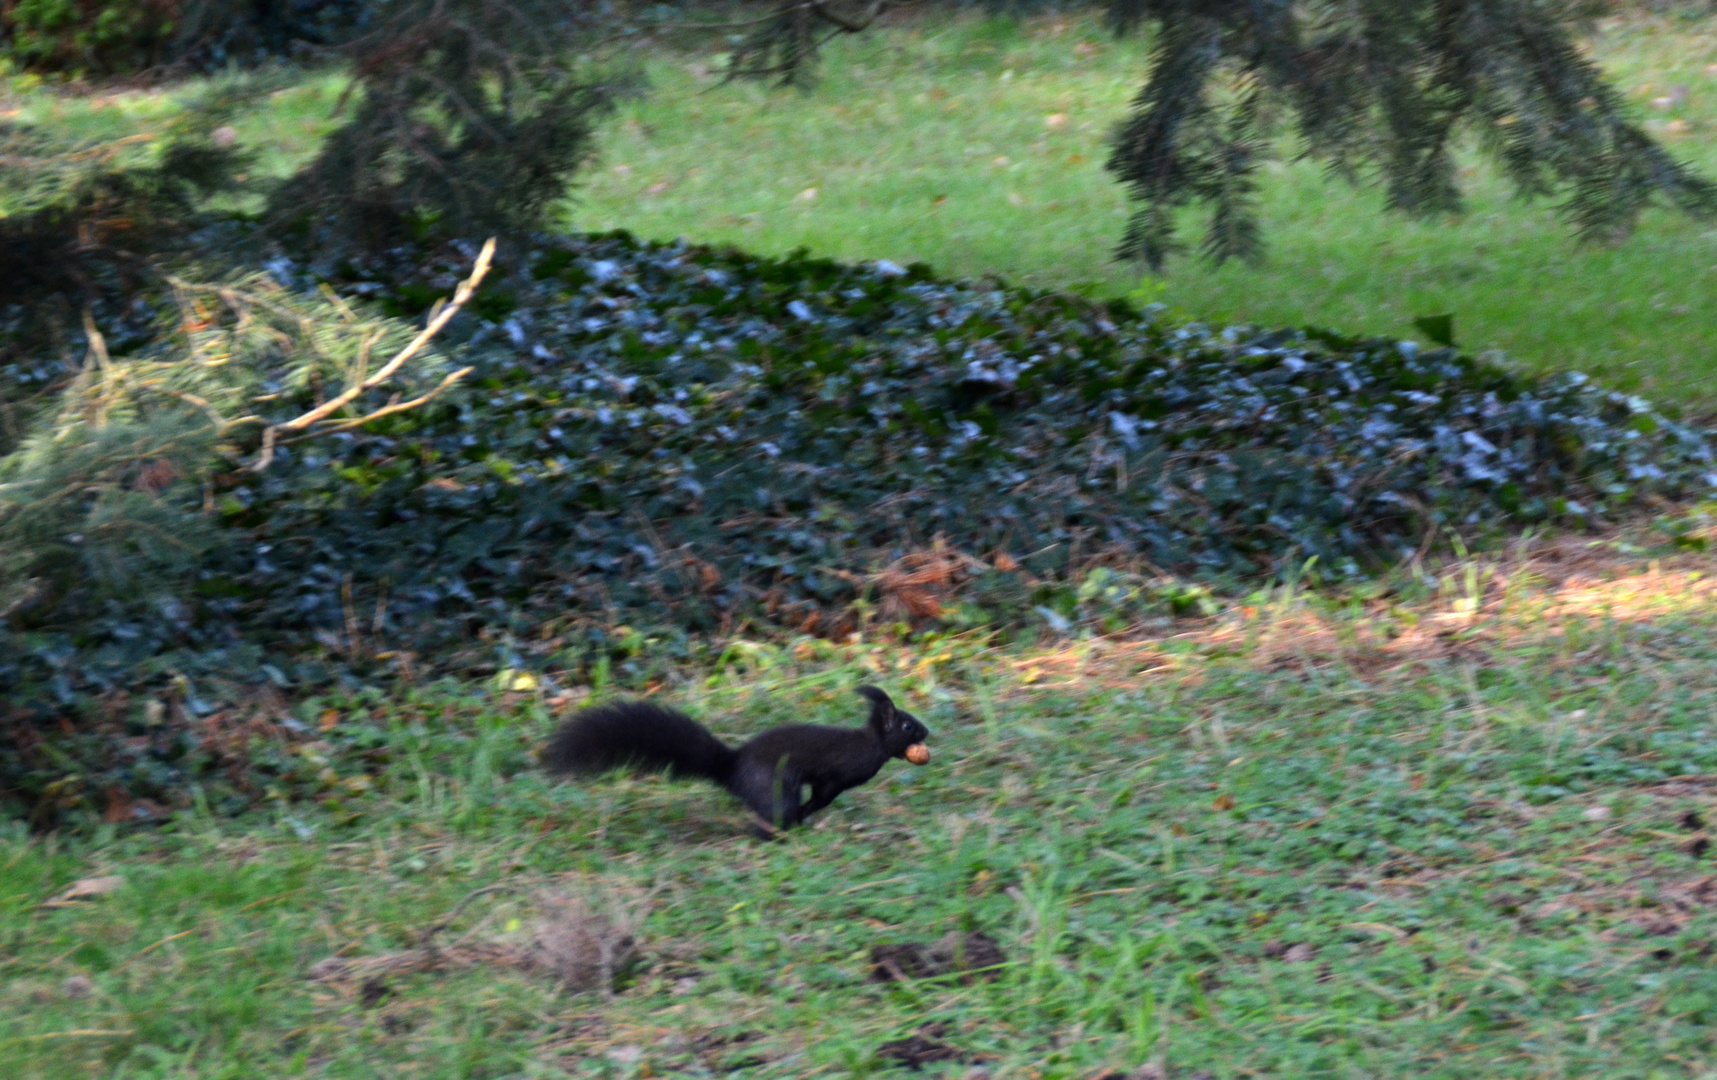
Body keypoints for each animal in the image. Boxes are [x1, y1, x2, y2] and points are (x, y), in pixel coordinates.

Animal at [546, 686, 927, 831]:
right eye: (907, 725)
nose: (927, 732)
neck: (871, 744)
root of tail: (731, 769)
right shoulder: (837, 775)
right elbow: (823, 793)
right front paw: (808, 813)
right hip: (773, 787)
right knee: (773, 812)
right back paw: (784, 827)